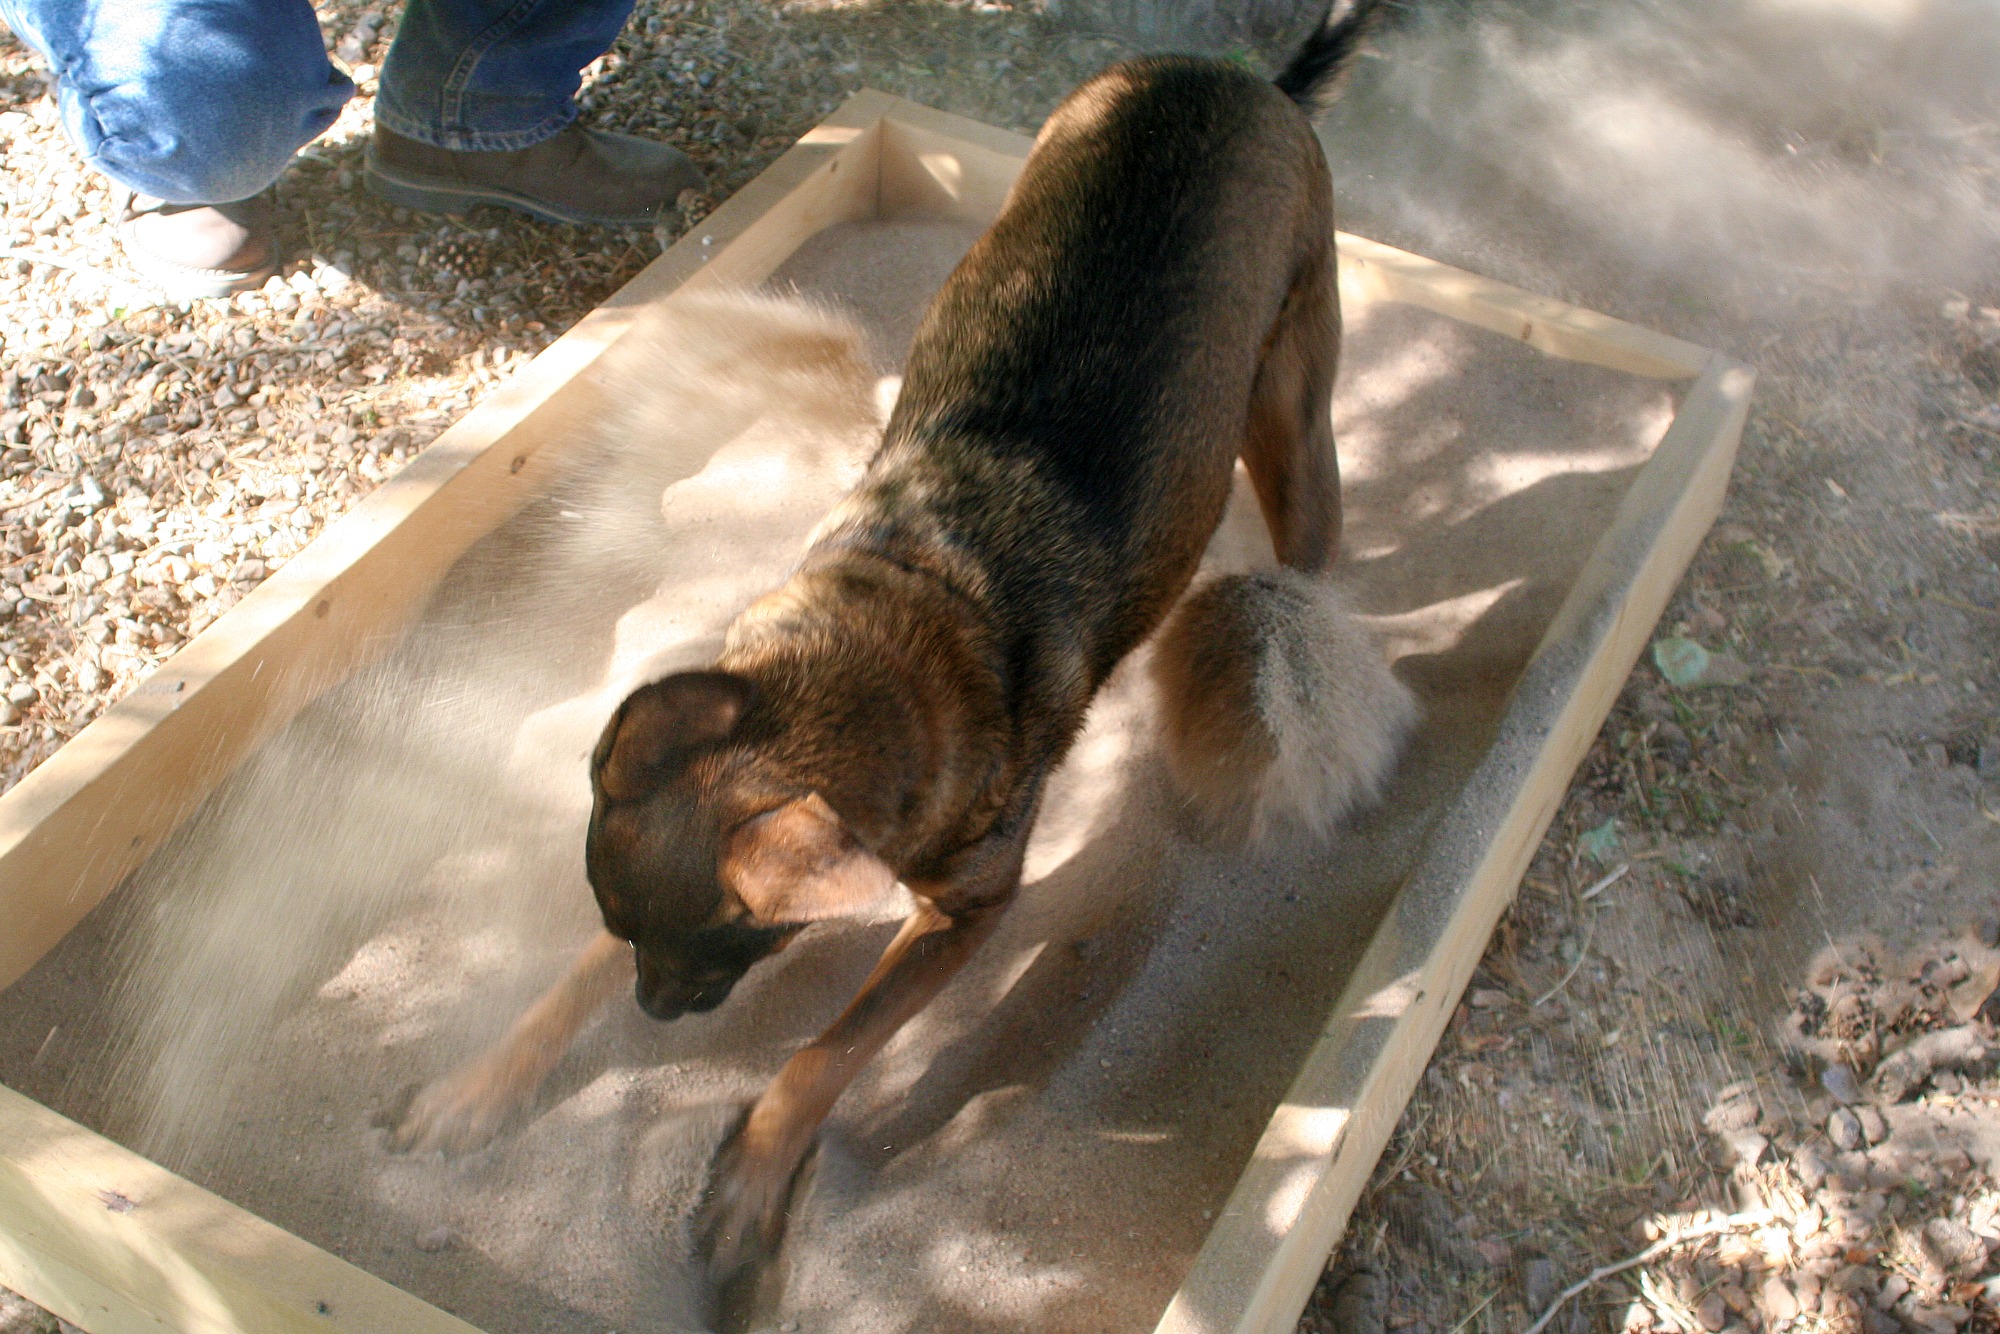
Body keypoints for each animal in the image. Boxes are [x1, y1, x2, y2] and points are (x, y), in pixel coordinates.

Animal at [392, 0, 1412, 1294]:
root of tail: (1246, 83)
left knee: (1309, 545)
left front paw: (754, 1178)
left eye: (749, 936)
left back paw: (1297, 659)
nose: (660, 1013)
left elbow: (826, 1049)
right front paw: (487, 1081)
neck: (883, 646)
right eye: (632, 938)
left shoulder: (963, 917)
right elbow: (565, 980)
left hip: (1290, 403)